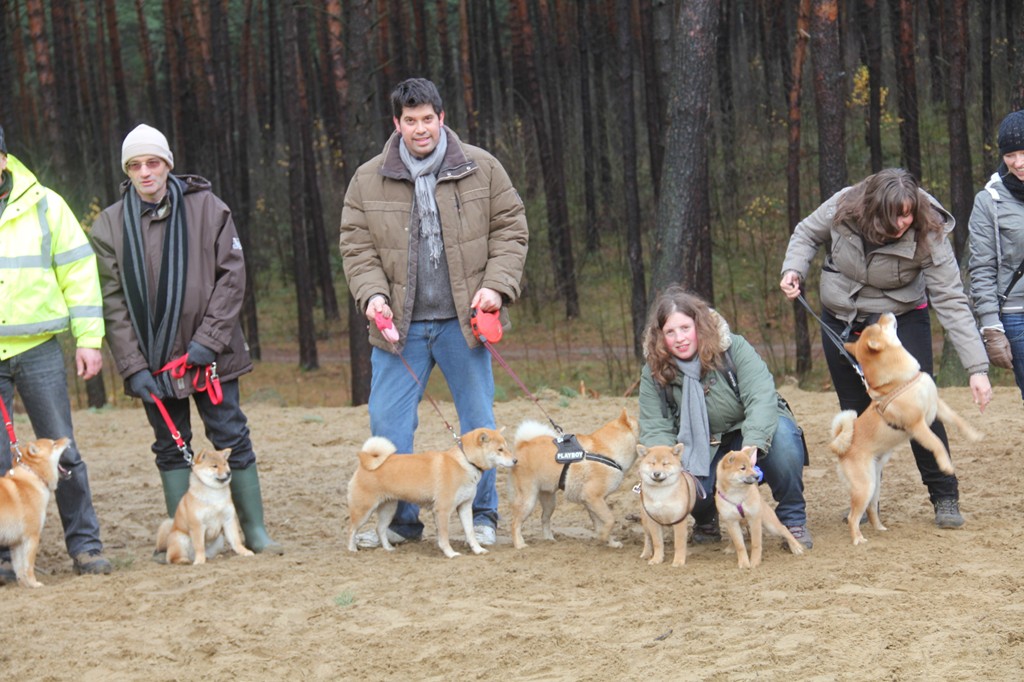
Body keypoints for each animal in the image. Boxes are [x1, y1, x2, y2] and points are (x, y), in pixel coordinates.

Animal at [0, 438, 70, 585]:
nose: (67, 438)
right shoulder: (32, 537)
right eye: (54, 444)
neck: (33, 477)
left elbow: (19, 568)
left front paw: (24, 584)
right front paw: (34, 584)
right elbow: (29, 566)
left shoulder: (16, 542)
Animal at [507, 409, 634, 548]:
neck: (608, 451)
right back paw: (519, 544)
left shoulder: (593, 501)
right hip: (528, 500)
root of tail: (523, 444)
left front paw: (610, 542)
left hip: (549, 501)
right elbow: (610, 519)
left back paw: (549, 539)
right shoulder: (593, 498)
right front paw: (603, 537)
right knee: (514, 523)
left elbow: (602, 523)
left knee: (544, 519)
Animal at [831, 311, 983, 540]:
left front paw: (974, 435)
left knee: (871, 509)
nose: (885, 313)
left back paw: (880, 528)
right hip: (864, 486)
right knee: (852, 516)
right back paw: (858, 539)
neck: (901, 381)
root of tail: (842, 450)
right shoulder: (918, 426)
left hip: (874, 485)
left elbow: (958, 420)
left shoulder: (937, 407)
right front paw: (946, 465)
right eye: (880, 325)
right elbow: (937, 443)